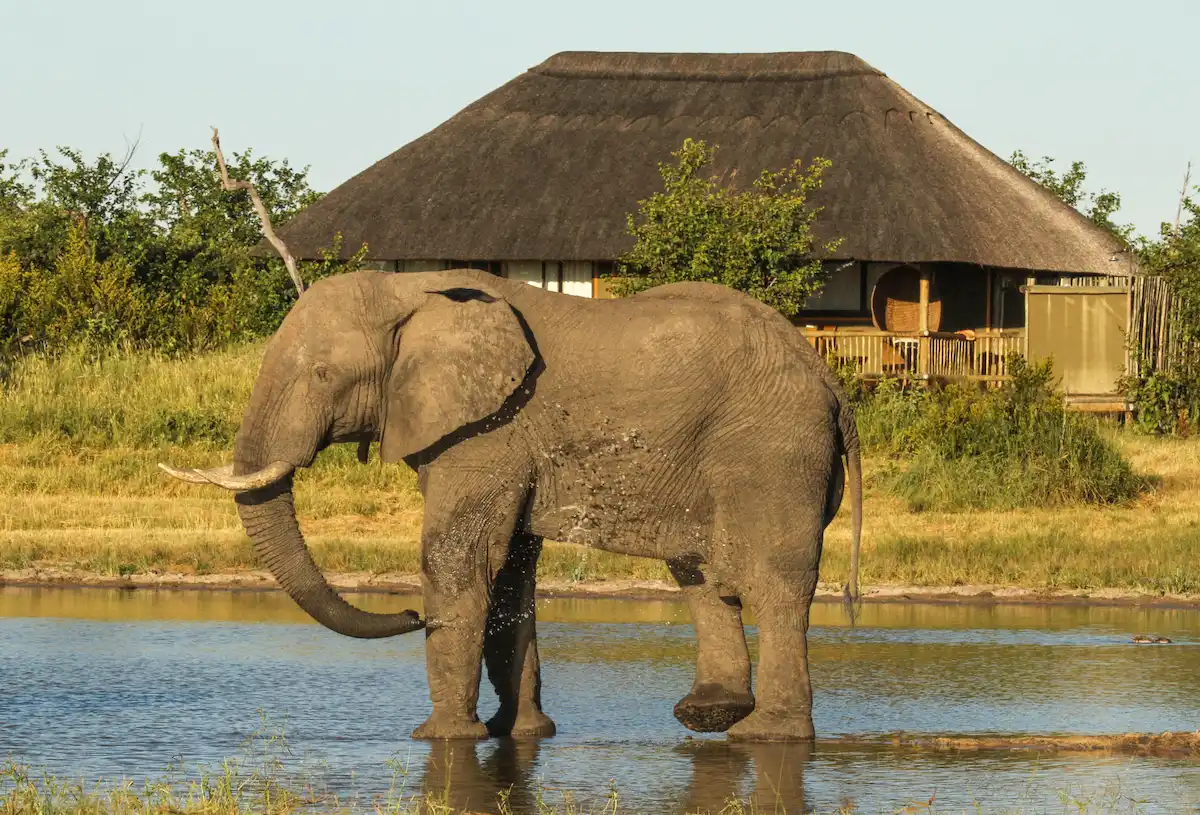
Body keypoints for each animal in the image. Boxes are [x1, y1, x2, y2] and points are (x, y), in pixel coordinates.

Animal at [162, 268, 864, 744]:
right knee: (703, 573)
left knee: (770, 579)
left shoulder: (489, 429)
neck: (407, 288)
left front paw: (441, 738)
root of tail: (830, 380)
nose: (411, 615)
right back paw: (709, 715)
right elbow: (510, 572)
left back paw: (766, 735)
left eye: (323, 376)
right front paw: (519, 732)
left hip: (772, 449)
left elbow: (459, 557)